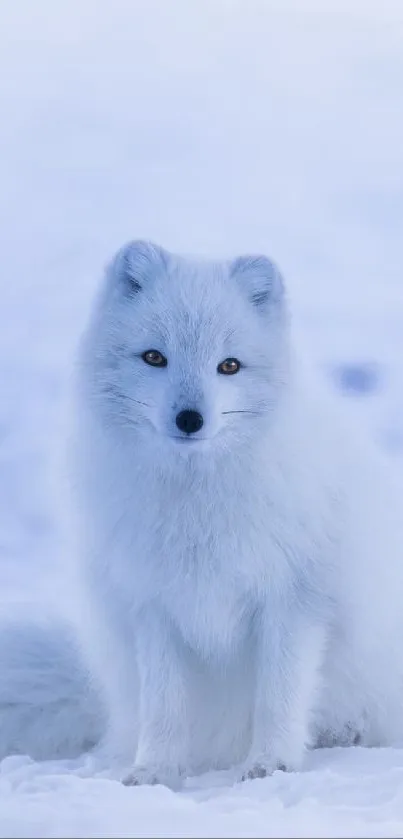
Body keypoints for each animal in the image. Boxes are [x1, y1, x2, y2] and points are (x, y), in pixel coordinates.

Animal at [2, 241, 403, 788]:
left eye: (229, 366)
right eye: (154, 357)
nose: (189, 419)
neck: (196, 503)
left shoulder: (294, 600)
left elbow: (279, 696)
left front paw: (271, 765)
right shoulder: (153, 604)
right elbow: (164, 705)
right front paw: (155, 770)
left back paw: (346, 733)